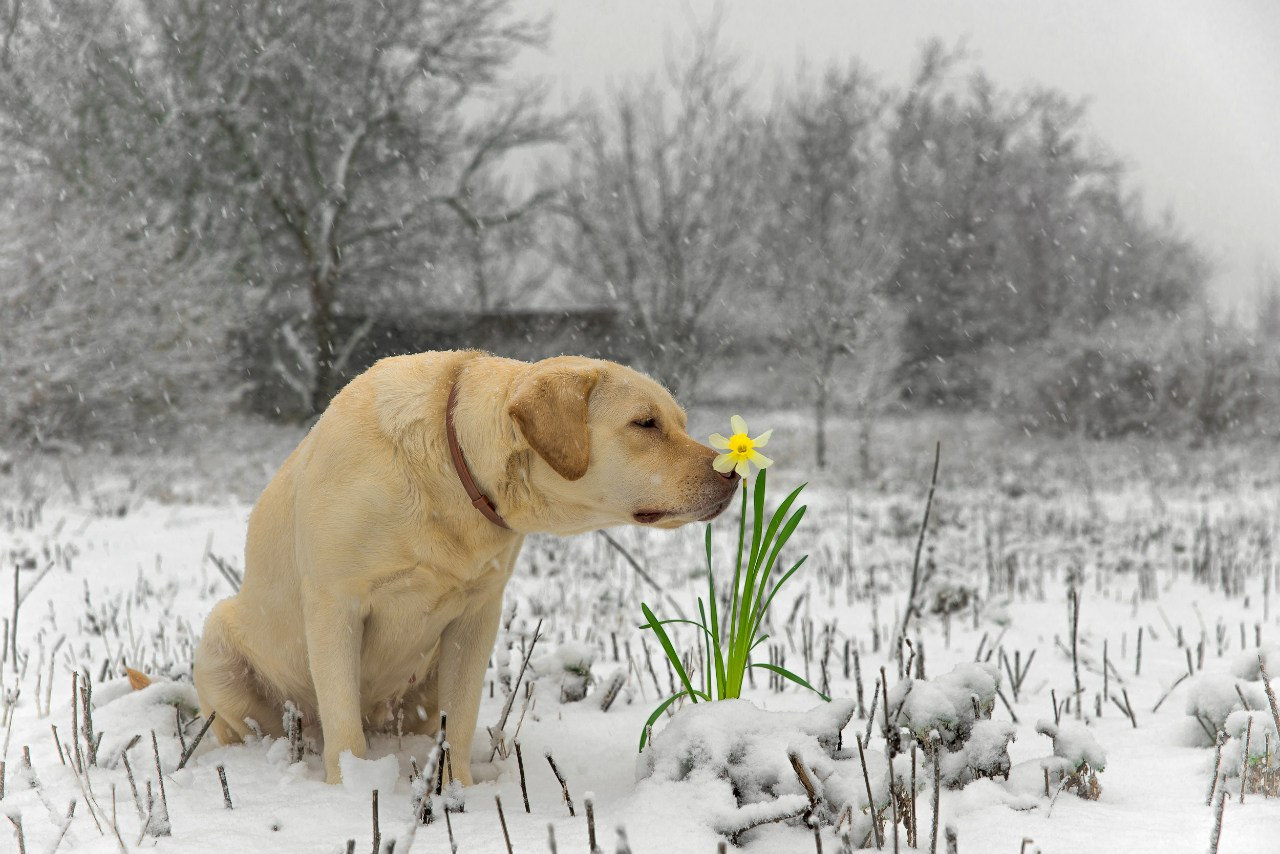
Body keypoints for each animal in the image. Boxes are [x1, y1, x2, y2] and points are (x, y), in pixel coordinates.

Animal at [197, 350, 742, 783]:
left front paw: (457, 790)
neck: (451, 472)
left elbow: (457, 722)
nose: (732, 473)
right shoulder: (336, 605)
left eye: (679, 422)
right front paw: (350, 792)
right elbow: (344, 726)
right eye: (645, 424)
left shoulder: (477, 615)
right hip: (218, 642)